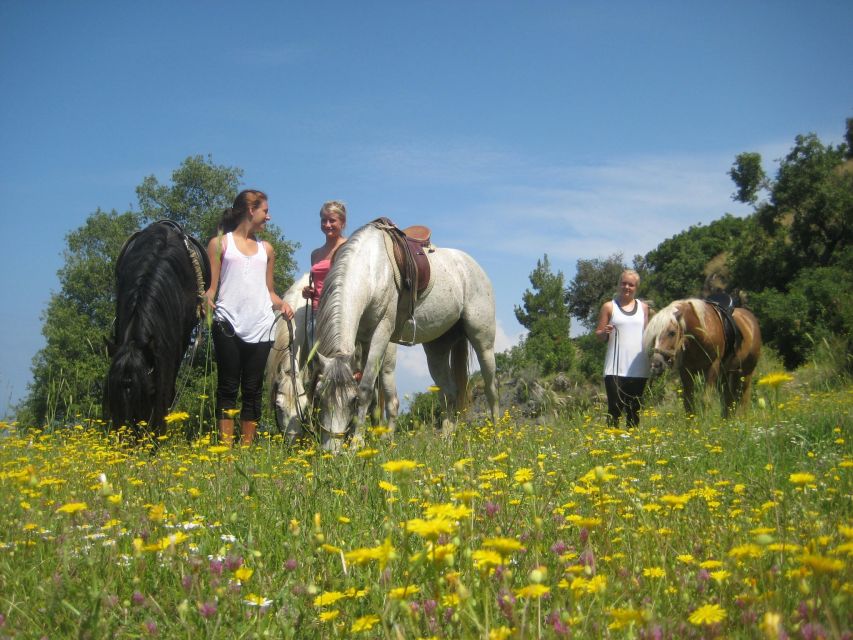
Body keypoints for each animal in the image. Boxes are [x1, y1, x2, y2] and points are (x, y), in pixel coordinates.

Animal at [312, 220, 500, 450]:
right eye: (319, 398)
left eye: (351, 400)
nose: (332, 451)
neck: (372, 270)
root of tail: (472, 266)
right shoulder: (363, 340)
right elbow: (373, 394)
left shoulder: (382, 332)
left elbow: (366, 388)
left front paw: (356, 445)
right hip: (436, 351)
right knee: (450, 393)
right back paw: (447, 442)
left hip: (483, 342)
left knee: (491, 388)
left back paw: (497, 436)